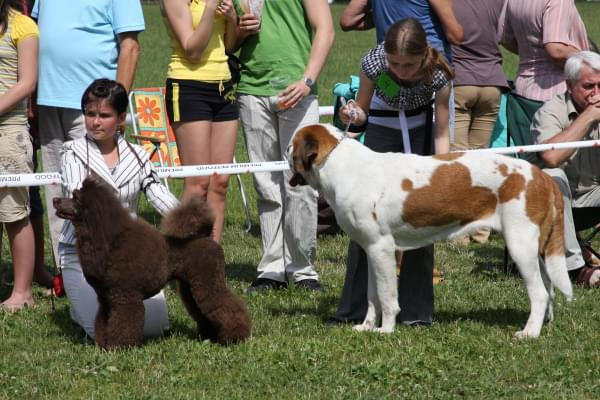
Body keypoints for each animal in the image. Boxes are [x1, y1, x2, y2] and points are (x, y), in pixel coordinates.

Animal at [288, 123, 576, 336]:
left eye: (291, 146)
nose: (284, 153)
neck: (342, 167)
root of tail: (542, 176)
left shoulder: (381, 248)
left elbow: (387, 296)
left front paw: (385, 330)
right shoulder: (371, 251)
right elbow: (372, 295)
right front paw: (367, 327)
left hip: (520, 246)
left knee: (539, 293)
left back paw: (529, 333)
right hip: (537, 250)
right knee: (549, 287)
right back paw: (545, 324)